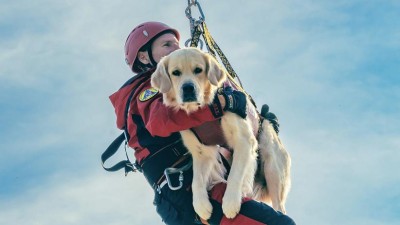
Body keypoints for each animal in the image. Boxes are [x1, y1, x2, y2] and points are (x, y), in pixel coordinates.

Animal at [150, 48, 290, 220]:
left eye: (198, 70)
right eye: (176, 72)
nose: (188, 88)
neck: (203, 109)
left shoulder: (244, 140)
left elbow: (235, 174)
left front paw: (230, 203)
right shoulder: (202, 152)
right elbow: (197, 180)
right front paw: (201, 206)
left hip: (272, 167)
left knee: (279, 205)